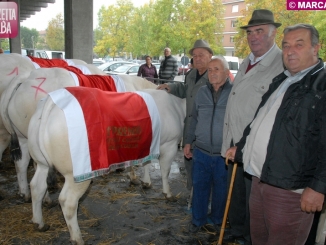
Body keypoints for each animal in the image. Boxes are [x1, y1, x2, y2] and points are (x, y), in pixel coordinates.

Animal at [0, 67, 158, 201]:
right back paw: (46, 197)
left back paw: (25, 193)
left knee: (22, 163)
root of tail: (28, 76)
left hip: (23, 137)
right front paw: (139, 179)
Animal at [27, 87, 186, 243]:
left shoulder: (149, 145)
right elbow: (165, 171)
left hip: (41, 162)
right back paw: (77, 238)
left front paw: (146, 182)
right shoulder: (170, 144)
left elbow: (146, 163)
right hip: (75, 173)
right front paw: (168, 193)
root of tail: (51, 102)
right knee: (68, 202)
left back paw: (39, 223)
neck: (177, 104)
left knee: (37, 187)